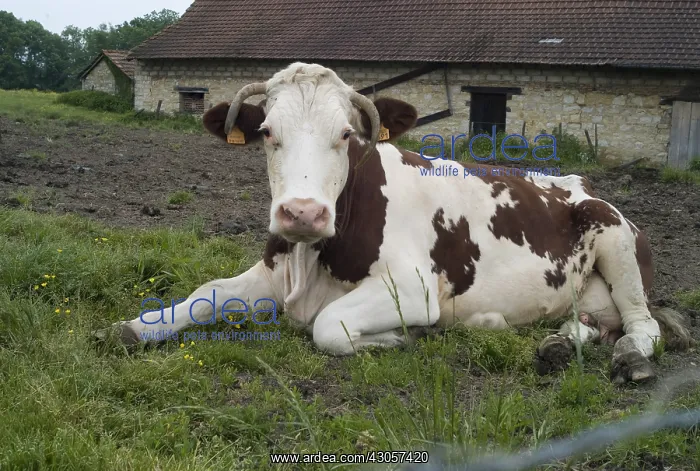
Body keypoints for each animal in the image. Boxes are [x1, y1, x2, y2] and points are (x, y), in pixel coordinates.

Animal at [95, 62, 693, 384]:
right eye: (265, 132)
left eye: (345, 134)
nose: (302, 212)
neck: (313, 260)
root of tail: (578, 181)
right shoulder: (273, 269)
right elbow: (208, 291)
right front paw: (138, 326)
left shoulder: (413, 286)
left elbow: (327, 325)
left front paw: (401, 338)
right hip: (585, 295)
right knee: (589, 322)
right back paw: (557, 345)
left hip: (617, 243)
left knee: (642, 325)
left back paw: (630, 358)